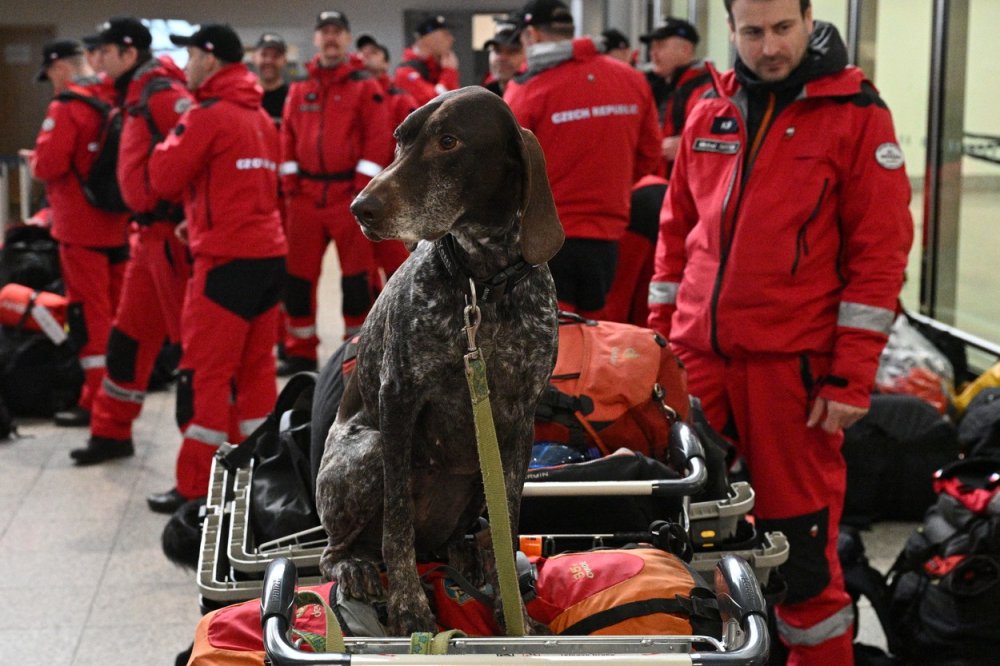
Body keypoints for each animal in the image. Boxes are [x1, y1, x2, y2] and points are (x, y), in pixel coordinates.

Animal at [314, 85, 564, 636]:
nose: (360, 208)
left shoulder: (519, 420)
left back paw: (473, 557)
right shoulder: (399, 399)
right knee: (335, 551)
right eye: (399, 139)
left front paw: (512, 610)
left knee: (467, 536)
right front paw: (410, 605)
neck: (482, 285)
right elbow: (397, 524)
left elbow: (508, 519)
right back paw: (357, 567)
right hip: (366, 452)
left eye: (448, 141)